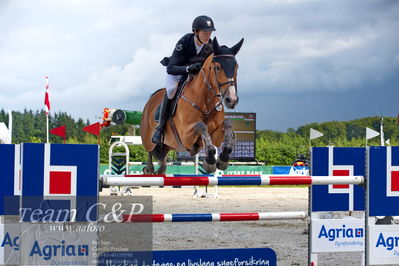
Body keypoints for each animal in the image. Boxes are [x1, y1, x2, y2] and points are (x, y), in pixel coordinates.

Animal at [142, 37, 245, 175]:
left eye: (236, 68)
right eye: (217, 68)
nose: (232, 100)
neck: (206, 100)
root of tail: (150, 100)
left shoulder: (217, 135)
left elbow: (228, 125)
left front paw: (222, 159)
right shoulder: (185, 135)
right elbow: (201, 126)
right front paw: (210, 162)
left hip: (168, 144)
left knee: (162, 160)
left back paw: (160, 170)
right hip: (148, 138)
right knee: (149, 151)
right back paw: (149, 168)